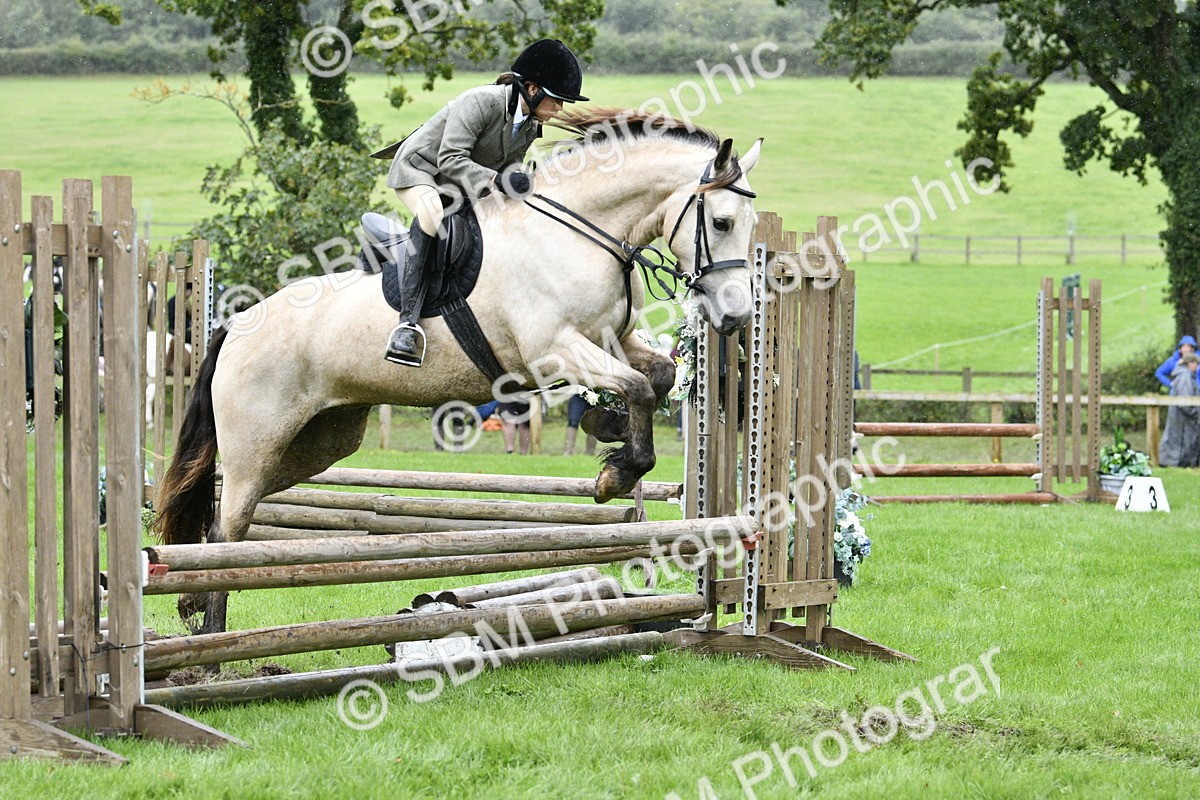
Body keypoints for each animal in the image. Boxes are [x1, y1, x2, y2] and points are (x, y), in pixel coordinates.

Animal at [154, 111, 763, 634]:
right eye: (721, 221)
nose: (736, 317)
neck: (579, 233)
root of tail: (236, 323)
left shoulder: (612, 340)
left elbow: (654, 377)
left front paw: (607, 435)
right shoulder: (555, 349)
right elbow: (637, 386)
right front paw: (614, 475)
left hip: (316, 443)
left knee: (229, 518)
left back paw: (192, 607)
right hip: (256, 444)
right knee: (227, 527)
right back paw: (208, 640)